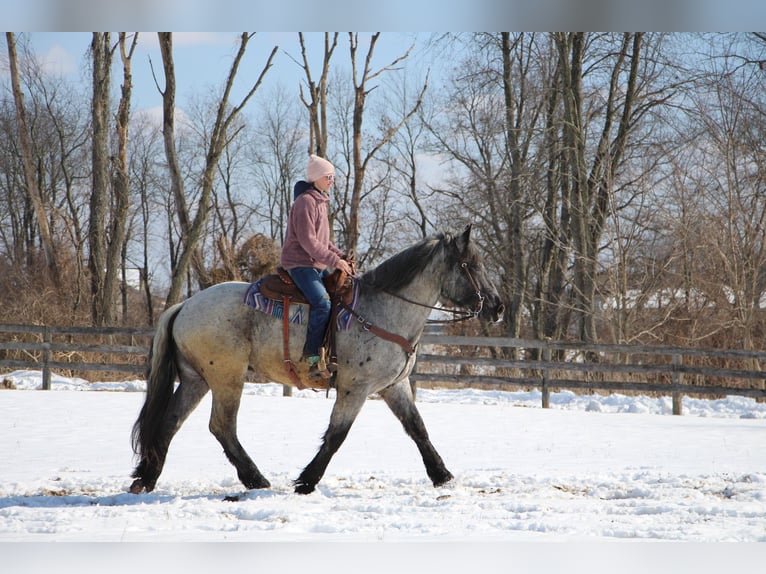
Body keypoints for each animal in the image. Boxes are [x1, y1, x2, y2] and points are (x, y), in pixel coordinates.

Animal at [129, 227, 508, 498]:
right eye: (470, 265)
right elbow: (337, 435)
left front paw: (441, 474)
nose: (498, 307)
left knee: (169, 423)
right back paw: (255, 479)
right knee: (222, 427)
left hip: (196, 380)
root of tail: (184, 306)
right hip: (226, 379)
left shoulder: (394, 386)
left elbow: (417, 428)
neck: (382, 311)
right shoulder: (355, 389)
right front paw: (307, 481)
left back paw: (146, 478)